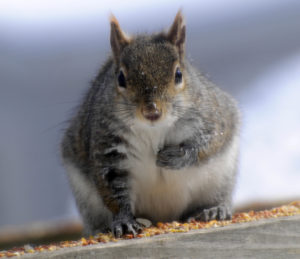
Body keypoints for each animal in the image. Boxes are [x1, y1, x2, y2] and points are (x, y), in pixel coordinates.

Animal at [61, 11, 239, 238]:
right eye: (120, 78)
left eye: (178, 74)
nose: (151, 111)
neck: (154, 130)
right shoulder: (108, 146)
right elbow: (113, 187)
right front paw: (124, 221)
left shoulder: (212, 117)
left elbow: (209, 142)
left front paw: (176, 156)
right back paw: (101, 229)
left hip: (220, 178)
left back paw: (213, 210)